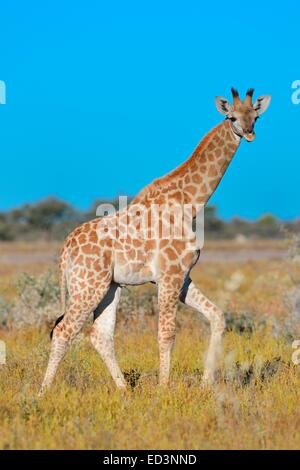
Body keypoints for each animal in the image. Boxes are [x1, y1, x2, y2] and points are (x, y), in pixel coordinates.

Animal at [38, 87, 270, 392]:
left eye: (255, 115)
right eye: (231, 117)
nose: (249, 132)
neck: (190, 202)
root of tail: (65, 249)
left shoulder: (182, 275)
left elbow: (217, 317)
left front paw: (206, 384)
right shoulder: (170, 274)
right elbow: (167, 333)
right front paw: (164, 388)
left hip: (109, 286)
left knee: (99, 334)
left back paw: (125, 391)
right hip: (88, 285)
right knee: (64, 330)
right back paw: (42, 393)